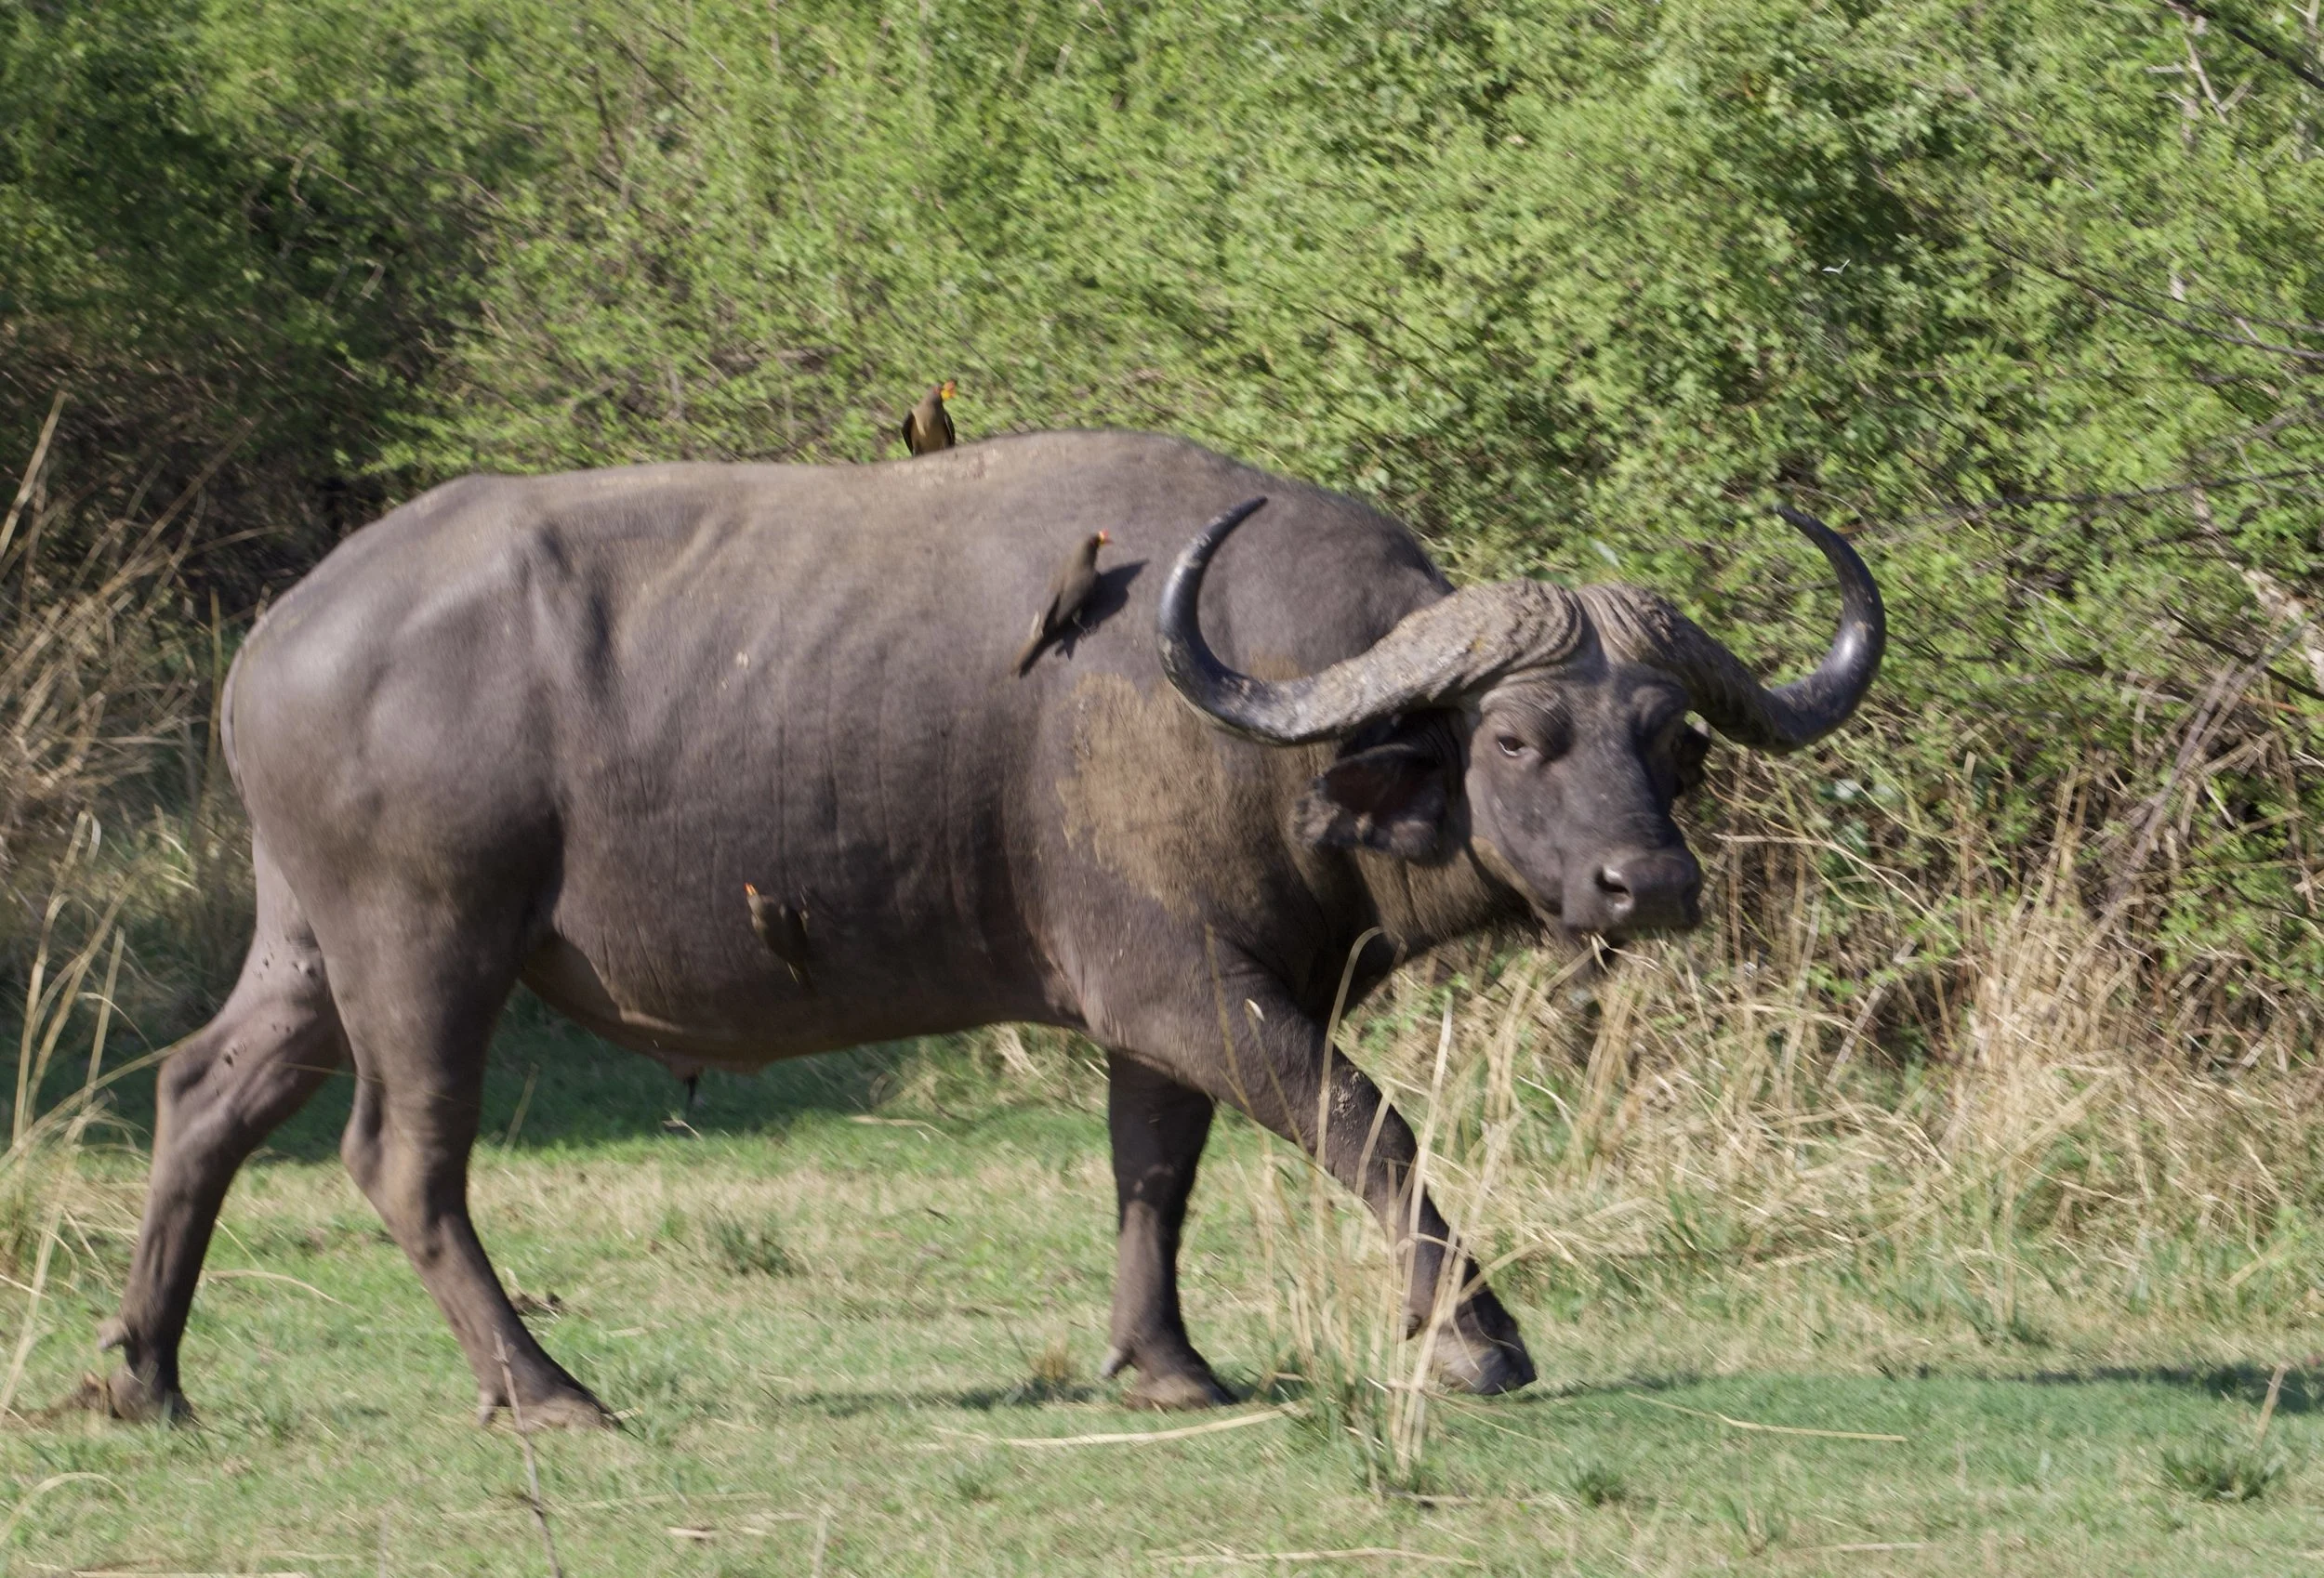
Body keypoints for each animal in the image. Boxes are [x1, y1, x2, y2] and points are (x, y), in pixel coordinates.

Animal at [100, 430, 1881, 1425]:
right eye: (1516, 737)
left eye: (1669, 737)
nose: (1648, 885)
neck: (1254, 726)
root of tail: (283, 633)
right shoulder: (1186, 984)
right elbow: (1363, 1121)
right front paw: (1476, 1341)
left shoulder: (1168, 1003)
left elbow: (1154, 1170)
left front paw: (1164, 1362)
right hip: (429, 947)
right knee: (402, 1158)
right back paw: (544, 1391)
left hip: (311, 954)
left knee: (203, 1094)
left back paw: (141, 1375)